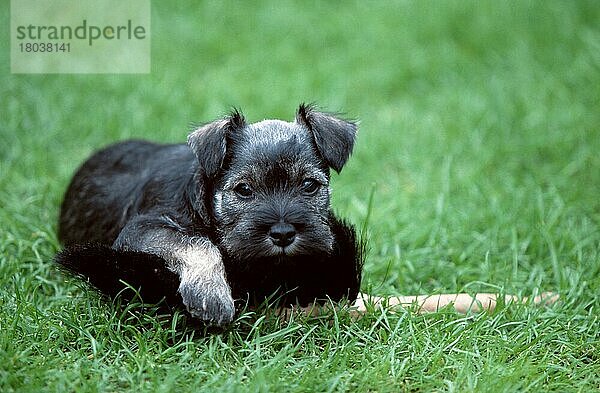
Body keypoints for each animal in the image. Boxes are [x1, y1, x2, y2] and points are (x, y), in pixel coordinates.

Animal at [56, 104, 364, 324]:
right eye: (243, 189)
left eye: (309, 185)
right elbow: (195, 243)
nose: (283, 233)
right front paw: (210, 295)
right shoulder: (142, 228)